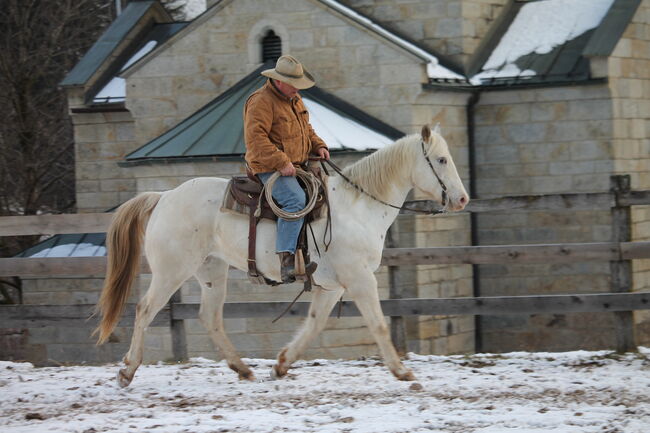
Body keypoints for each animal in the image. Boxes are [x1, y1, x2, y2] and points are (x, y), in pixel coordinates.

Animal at [95, 124, 466, 384]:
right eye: (441, 159)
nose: (461, 199)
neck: (357, 207)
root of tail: (164, 197)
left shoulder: (333, 286)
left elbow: (314, 324)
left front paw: (282, 365)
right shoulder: (360, 280)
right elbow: (378, 324)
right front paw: (403, 372)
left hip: (211, 271)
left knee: (210, 317)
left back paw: (243, 369)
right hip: (172, 270)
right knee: (145, 310)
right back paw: (127, 372)